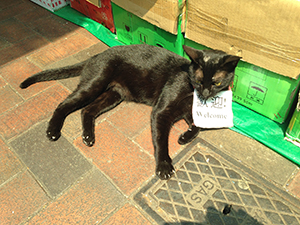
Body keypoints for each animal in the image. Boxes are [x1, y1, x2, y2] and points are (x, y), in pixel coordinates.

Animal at [19, 44, 240, 179]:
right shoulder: (161, 112)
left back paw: (88, 136)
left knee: (87, 111)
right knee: (63, 105)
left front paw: (184, 138)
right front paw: (164, 166)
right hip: (94, 85)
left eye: (216, 83)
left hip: (114, 95)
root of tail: (96, 56)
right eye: (199, 80)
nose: (204, 93)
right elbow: (161, 141)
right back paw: (53, 131)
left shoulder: (187, 112)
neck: (191, 91)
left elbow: (197, 127)